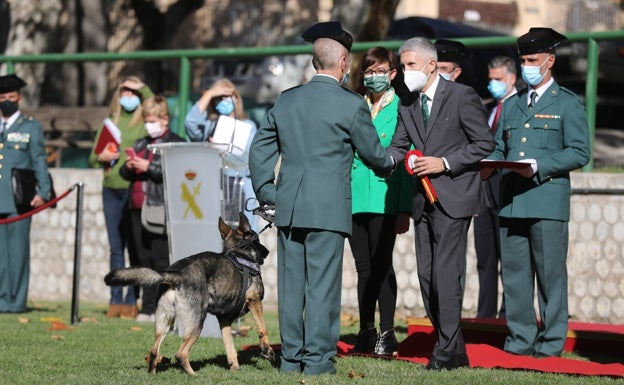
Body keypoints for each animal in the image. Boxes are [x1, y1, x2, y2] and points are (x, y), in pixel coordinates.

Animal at [103, 212, 274, 374]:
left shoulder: (224, 320)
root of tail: (176, 274)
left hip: (165, 324)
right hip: (197, 322)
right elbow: (262, 327)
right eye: (258, 240)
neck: (240, 253)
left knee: (153, 352)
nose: (267, 252)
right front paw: (267, 350)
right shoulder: (254, 300)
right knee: (181, 353)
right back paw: (194, 375)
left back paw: (153, 374)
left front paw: (234, 367)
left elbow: (229, 346)